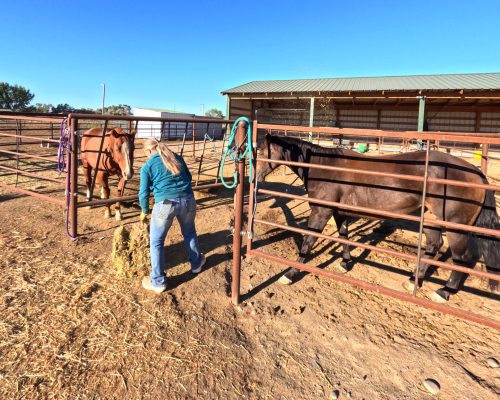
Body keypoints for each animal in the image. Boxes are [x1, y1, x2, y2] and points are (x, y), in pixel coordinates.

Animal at [258, 134, 500, 304]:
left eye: (261, 150)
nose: (255, 177)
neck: (323, 166)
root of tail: (476, 173)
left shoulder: (321, 211)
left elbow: (308, 242)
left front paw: (290, 274)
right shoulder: (339, 212)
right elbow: (344, 236)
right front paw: (345, 263)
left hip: (455, 226)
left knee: (464, 257)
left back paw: (443, 292)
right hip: (431, 219)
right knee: (434, 245)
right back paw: (413, 280)